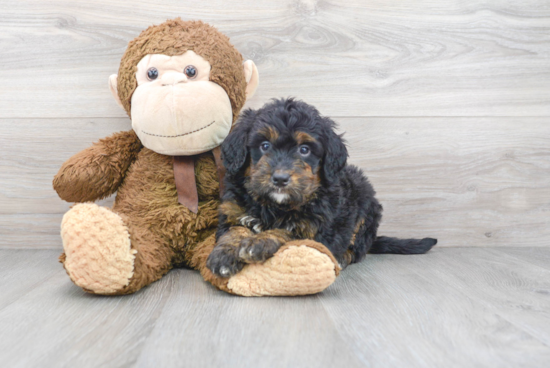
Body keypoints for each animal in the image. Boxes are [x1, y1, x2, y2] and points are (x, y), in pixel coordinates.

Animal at [208, 98, 440, 276]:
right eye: (264, 146)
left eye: (304, 149)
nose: (280, 179)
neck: (275, 206)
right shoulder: (233, 210)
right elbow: (235, 229)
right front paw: (224, 254)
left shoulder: (317, 229)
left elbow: (288, 232)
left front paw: (259, 243)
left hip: (365, 210)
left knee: (357, 249)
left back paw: (343, 257)